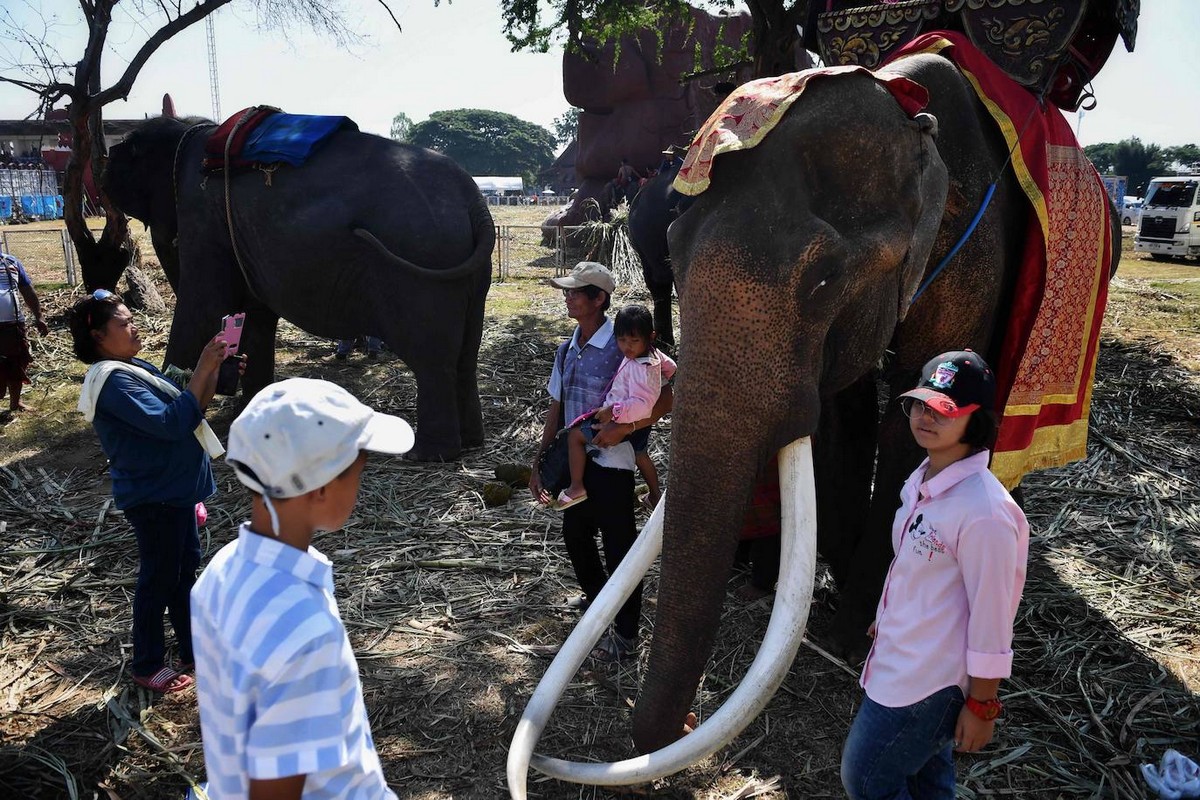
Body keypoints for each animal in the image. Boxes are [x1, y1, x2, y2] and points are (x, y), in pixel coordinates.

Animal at [103, 115, 494, 460]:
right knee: (464, 357)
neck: (190, 131)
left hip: (423, 267)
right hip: (467, 271)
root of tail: (474, 199)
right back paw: (471, 442)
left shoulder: (203, 219)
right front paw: (251, 409)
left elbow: (202, 303)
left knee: (433, 360)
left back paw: (426, 455)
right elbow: (255, 317)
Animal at [511, 35, 1118, 786]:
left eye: (825, 278)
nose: (681, 720)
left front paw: (850, 632)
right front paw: (834, 582)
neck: (905, 110)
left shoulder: (978, 254)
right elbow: (842, 410)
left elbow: (912, 414)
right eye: (674, 250)